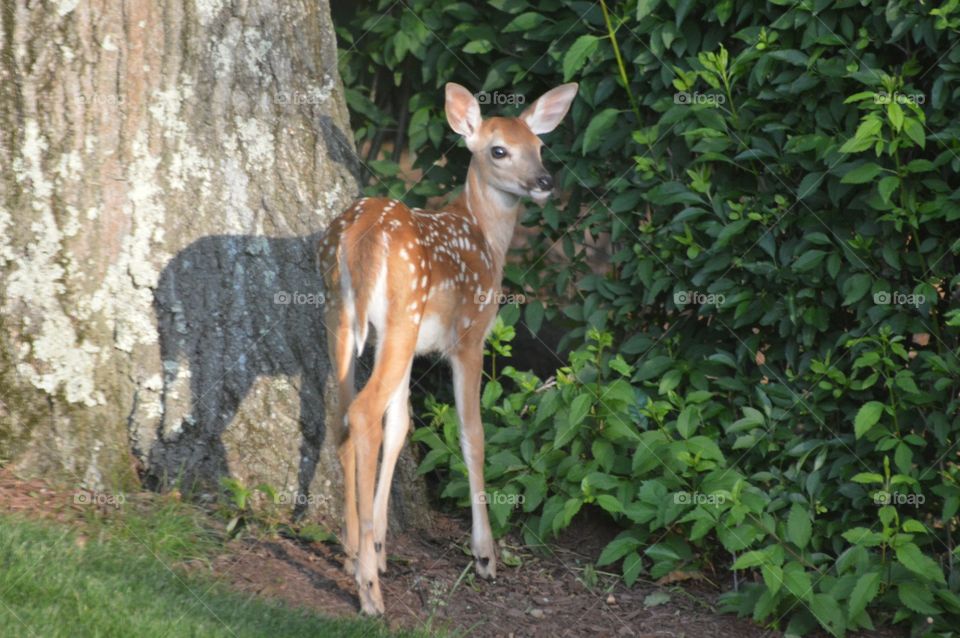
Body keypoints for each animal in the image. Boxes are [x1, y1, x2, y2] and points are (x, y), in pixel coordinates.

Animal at [320, 80, 576, 616]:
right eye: (499, 150)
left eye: (540, 146)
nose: (544, 181)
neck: (485, 239)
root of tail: (356, 239)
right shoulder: (470, 336)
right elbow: (472, 435)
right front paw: (485, 555)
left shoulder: (406, 342)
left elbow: (401, 425)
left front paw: (381, 547)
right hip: (402, 313)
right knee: (362, 412)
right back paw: (369, 593)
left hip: (342, 315)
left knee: (344, 413)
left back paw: (354, 551)